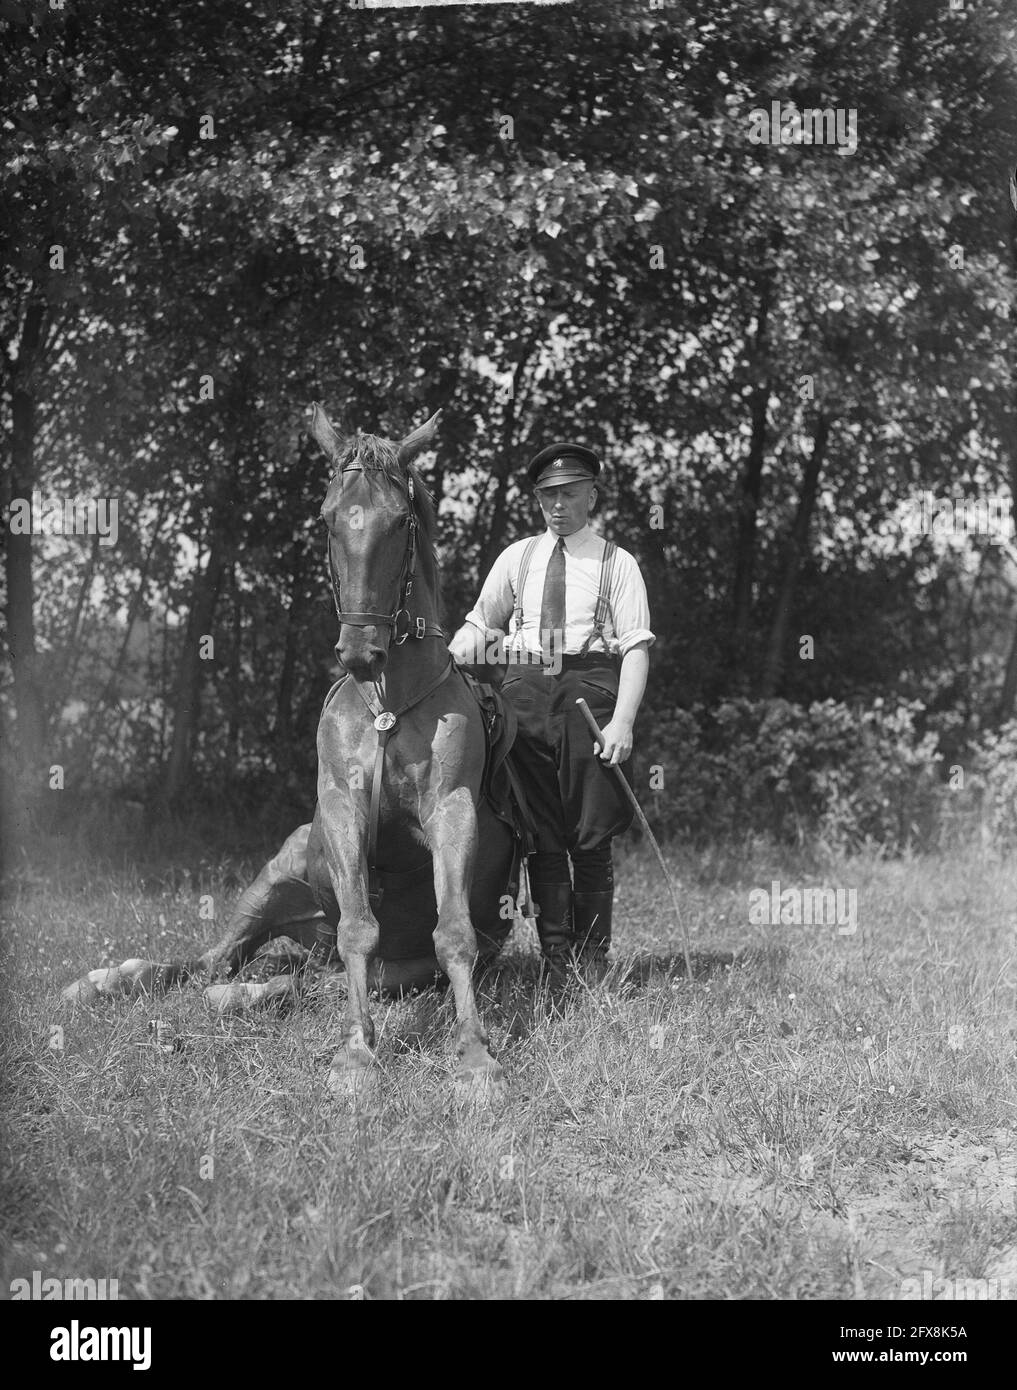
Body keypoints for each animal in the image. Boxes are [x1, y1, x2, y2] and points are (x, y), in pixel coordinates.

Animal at [63, 403, 525, 1095]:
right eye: (330, 518)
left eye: (400, 521)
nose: (361, 652)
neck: (389, 701)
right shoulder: (341, 810)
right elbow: (359, 928)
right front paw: (357, 1056)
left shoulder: (453, 812)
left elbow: (454, 933)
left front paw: (474, 1056)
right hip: (272, 884)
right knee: (214, 962)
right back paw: (108, 981)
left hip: (383, 965)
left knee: (297, 979)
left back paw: (243, 994)